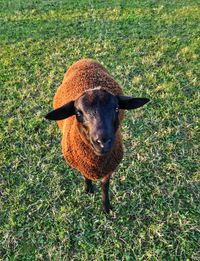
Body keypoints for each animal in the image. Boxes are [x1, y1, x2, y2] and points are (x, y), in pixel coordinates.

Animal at [45, 58, 148, 211]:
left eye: (116, 108)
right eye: (78, 113)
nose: (103, 142)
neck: (97, 163)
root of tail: (84, 59)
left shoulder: (109, 169)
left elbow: (105, 186)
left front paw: (106, 207)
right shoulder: (81, 165)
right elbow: (86, 176)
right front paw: (88, 189)